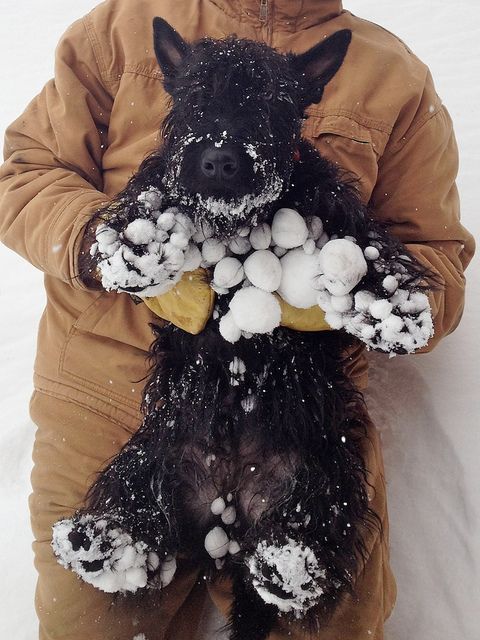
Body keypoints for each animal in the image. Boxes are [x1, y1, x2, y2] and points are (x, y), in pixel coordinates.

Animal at [53, 20, 436, 640]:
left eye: (272, 102)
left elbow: (367, 251)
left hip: (325, 472)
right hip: (151, 452)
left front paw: (392, 316)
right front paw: (140, 250)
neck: (238, 223)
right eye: (193, 95)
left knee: (313, 545)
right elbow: (148, 198)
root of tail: (229, 523)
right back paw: (102, 543)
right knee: (142, 524)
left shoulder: (334, 211)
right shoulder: (161, 182)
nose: (217, 161)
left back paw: (288, 566)